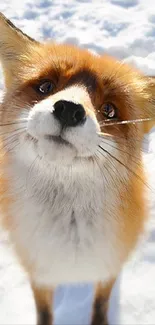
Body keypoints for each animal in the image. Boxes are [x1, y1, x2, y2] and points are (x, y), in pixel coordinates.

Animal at [0, 12, 154, 324]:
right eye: (46, 86)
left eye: (109, 110)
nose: (69, 109)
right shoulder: (39, 274)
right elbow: (44, 312)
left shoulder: (108, 268)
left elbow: (100, 304)